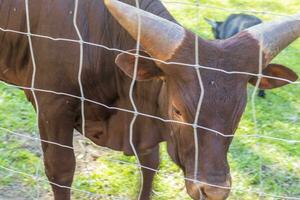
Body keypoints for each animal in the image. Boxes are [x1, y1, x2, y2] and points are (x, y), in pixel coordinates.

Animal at [0, 0, 298, 200]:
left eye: (239, 112)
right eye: (178, 111)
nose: (213, 190)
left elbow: (150, 165)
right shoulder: (52, 107)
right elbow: (61, 171)